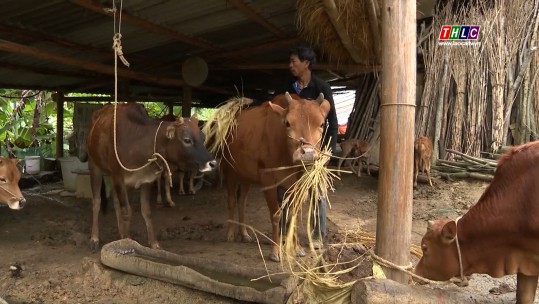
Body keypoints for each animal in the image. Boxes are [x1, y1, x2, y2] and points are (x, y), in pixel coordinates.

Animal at [86, 103, 217, 251]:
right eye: (187, 140)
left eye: (203, 138)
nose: (212, 163)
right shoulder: (118, 176)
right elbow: (127, 211)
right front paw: (127, 241)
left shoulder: (145, 180)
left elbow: (146, 211)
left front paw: (153, 244)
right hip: (94, 167)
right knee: (96, 202)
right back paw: (95, 238)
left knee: (115, 203)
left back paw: (120, 234)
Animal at [221, 92, 332, 262]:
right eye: (287, 123)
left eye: (321, 124)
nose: (307, 153)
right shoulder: (267, 178)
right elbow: (276, 214)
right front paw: (276, 251)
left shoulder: (296, 182)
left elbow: (292, 215)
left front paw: (297, 248)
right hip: (230, 170)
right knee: (232, 200)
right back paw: (230, 234)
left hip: (246, 175)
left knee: (242, 202)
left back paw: (244, 234)